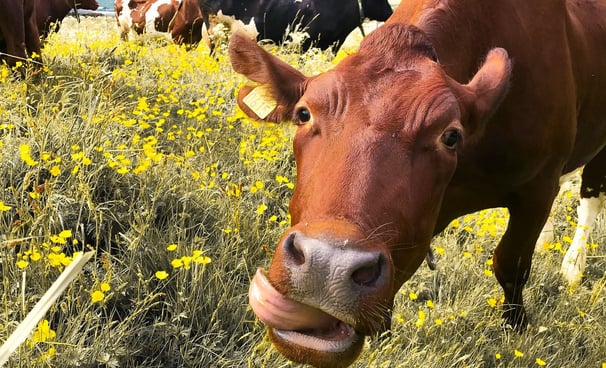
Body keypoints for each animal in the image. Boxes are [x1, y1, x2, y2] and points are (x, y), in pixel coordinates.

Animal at [229, 0, 606, 368]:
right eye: (303, 114)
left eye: (450, 136)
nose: (327, 266)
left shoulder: (537, 188)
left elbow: (511, 263)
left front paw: (515, 326)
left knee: (590, 196)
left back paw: (573, 265)